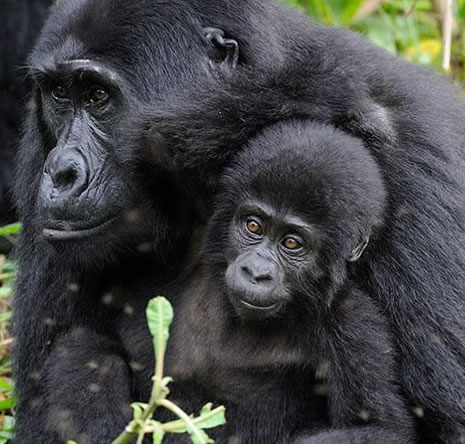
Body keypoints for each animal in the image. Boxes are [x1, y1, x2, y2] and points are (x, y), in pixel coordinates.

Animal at [121, 119, 412, 442]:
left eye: (292, 243)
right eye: (253, 226)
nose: (256, 272)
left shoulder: (354, 322)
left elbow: (380, 427)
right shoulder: (200, 220)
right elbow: (155, 154)